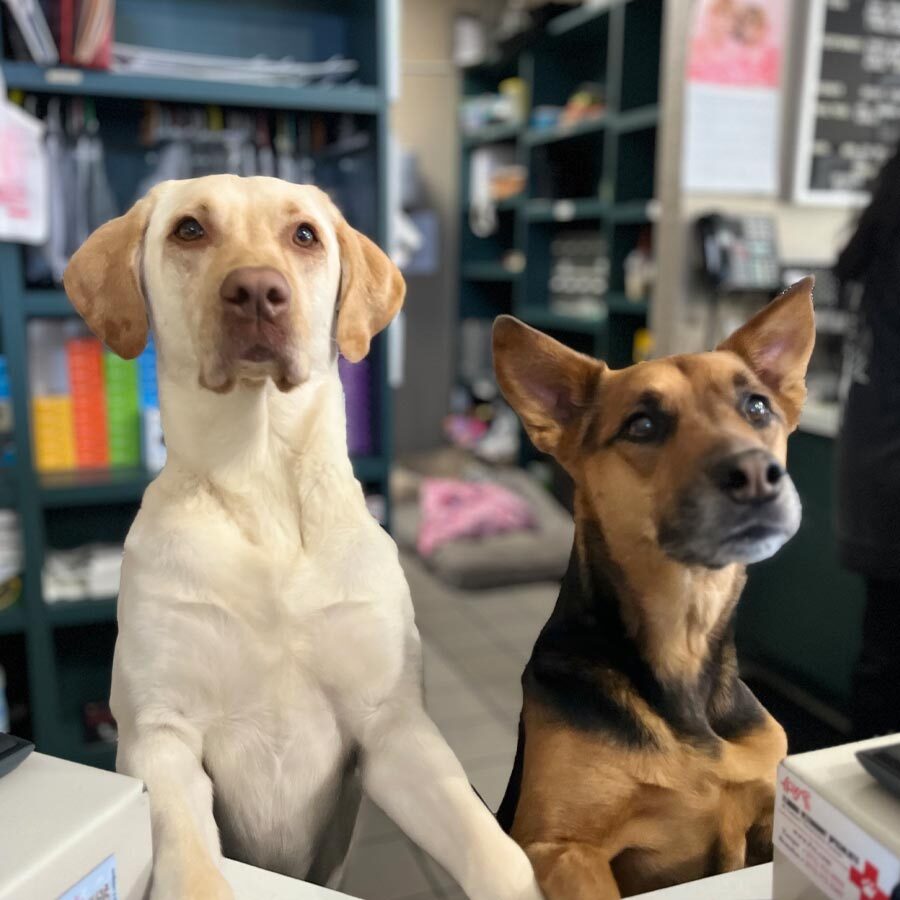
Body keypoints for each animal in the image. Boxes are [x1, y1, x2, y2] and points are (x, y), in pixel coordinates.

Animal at [65, 176, 540, 900]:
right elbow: (195, 870)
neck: (261, 483)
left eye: (305, 235)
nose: (258, 290)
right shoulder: (160, 738)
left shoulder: (394, 730)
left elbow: (499, 854)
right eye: (189, 229)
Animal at [492, 280, 816, 900]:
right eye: (642, 425)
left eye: (756, 407)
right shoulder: (558, 847)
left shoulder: (770, 815)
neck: (681, 641)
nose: (757, 475)